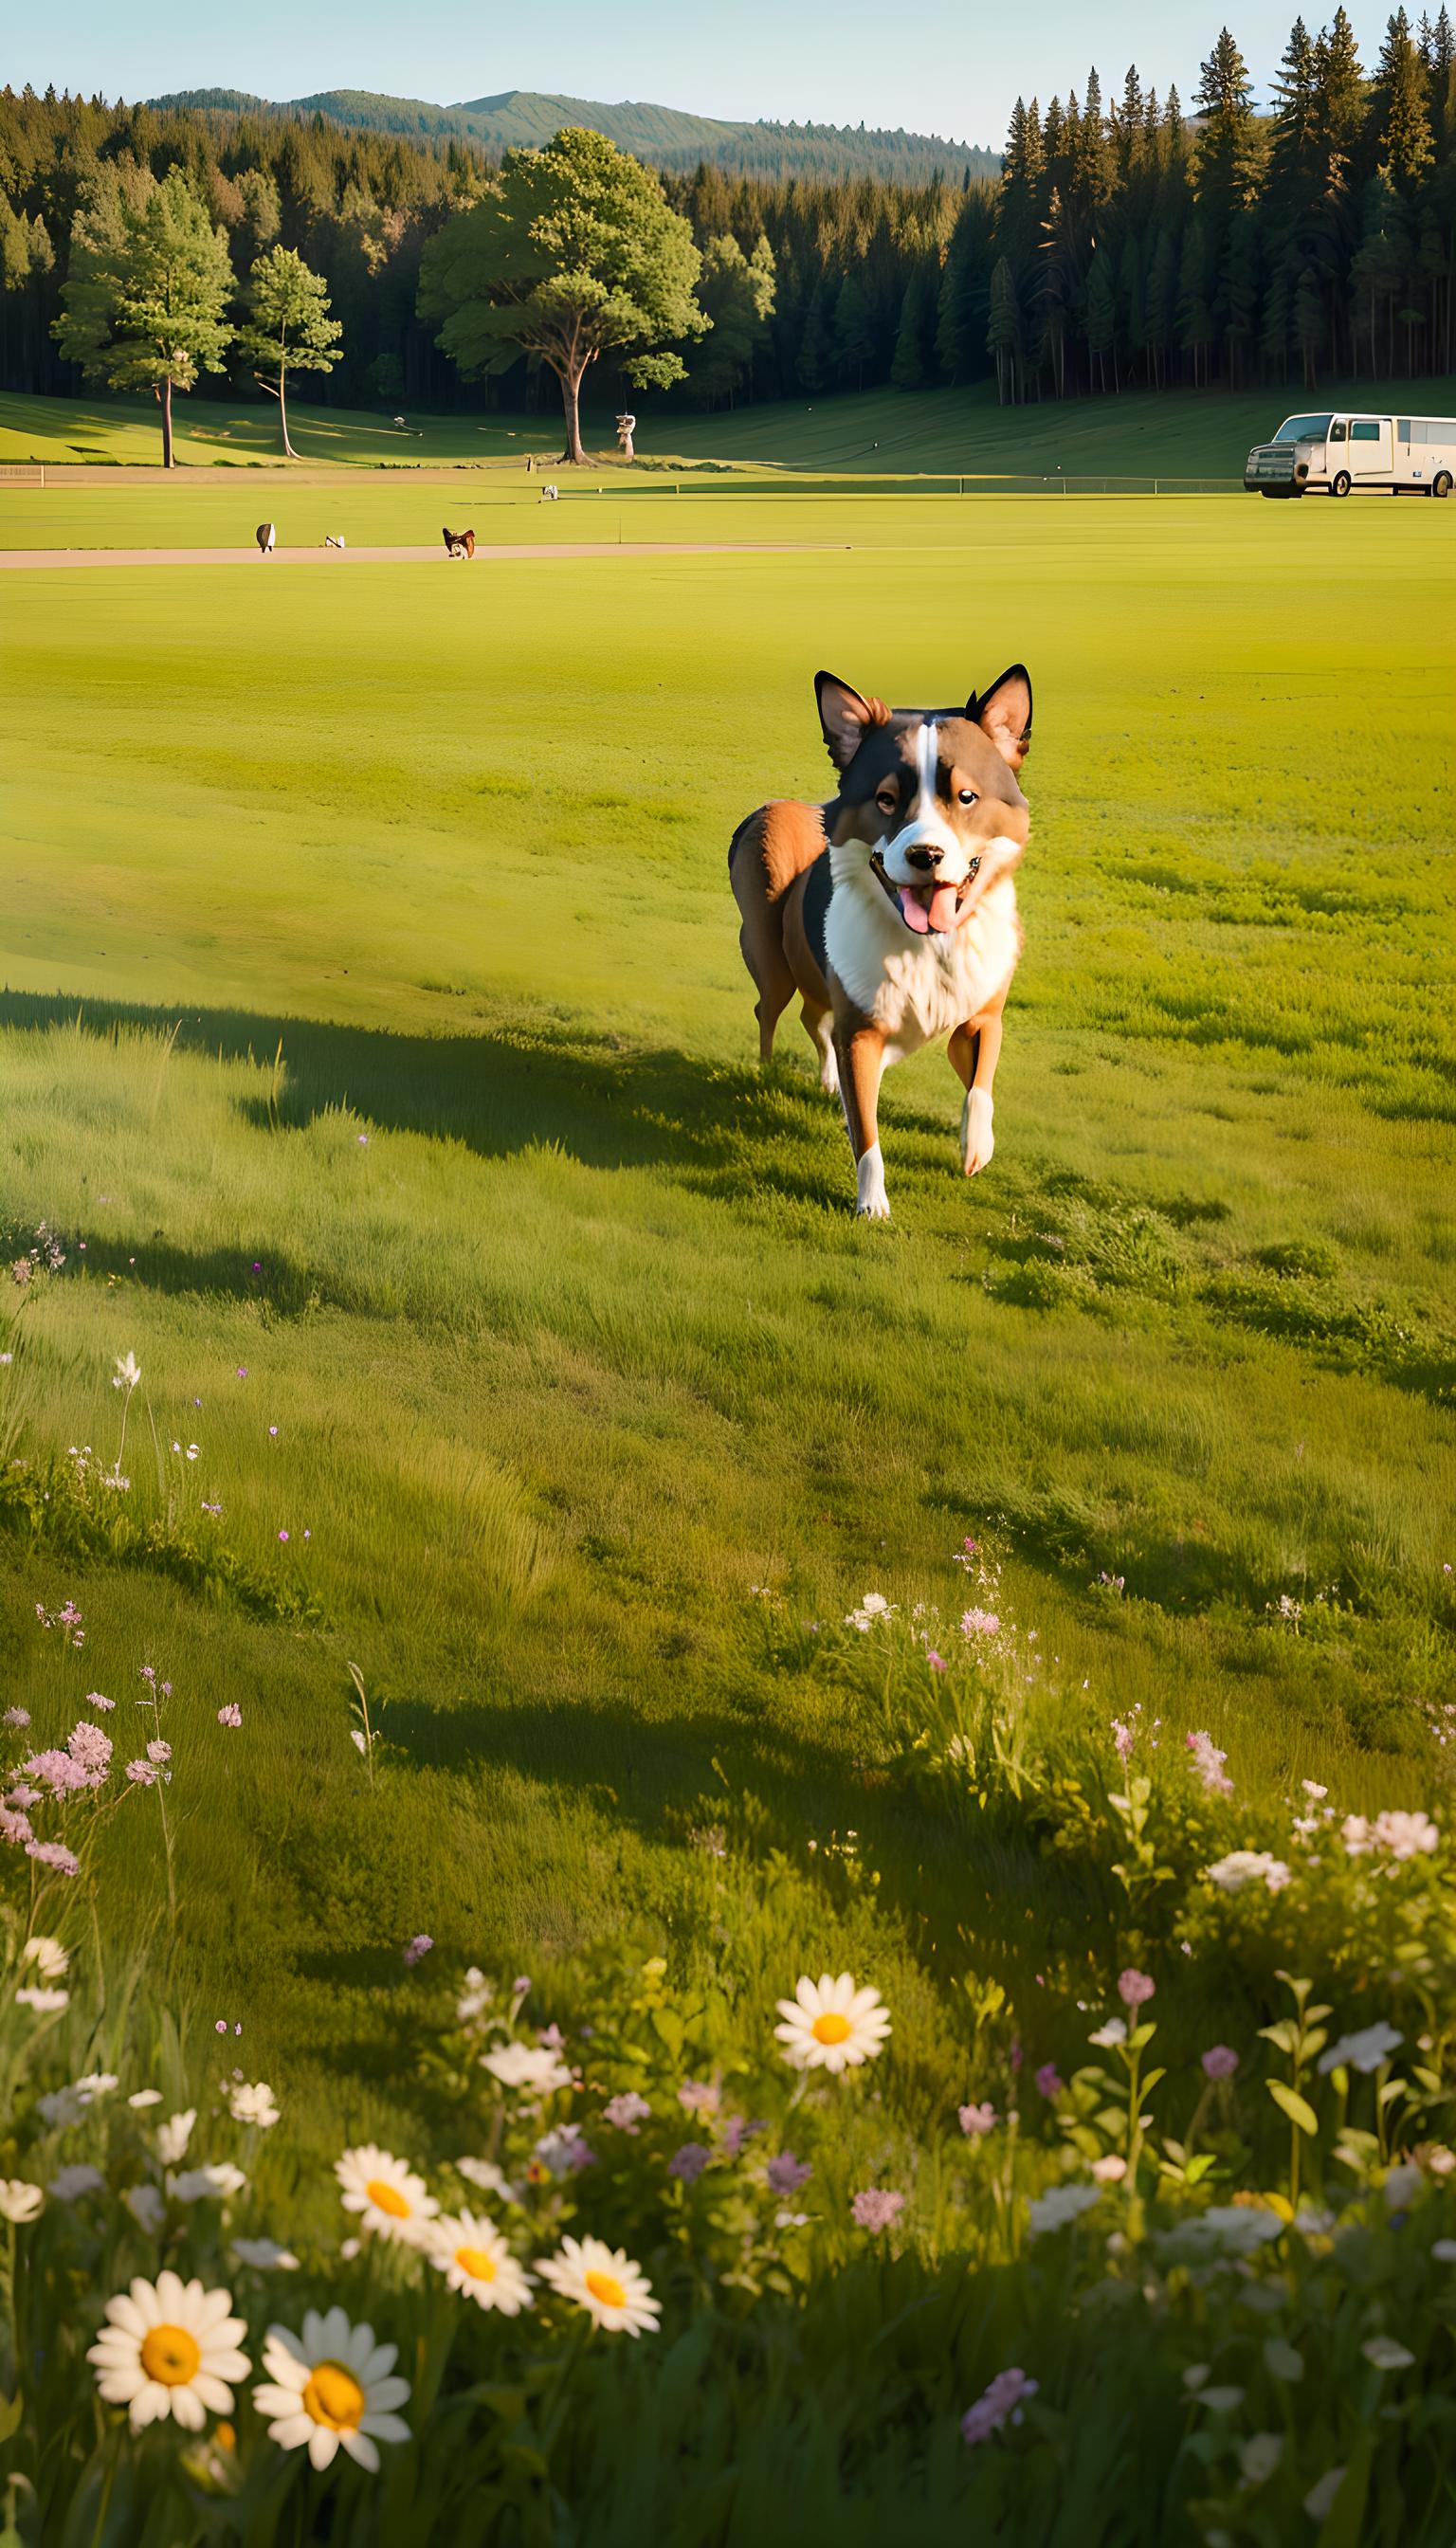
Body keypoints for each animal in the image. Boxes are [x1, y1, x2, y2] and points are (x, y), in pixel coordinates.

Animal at [734, 667, 1029, 1223]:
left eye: (967, 797)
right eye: (886, 799)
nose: (925, 855)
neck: (928, 945)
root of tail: (771, 808)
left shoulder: (978, 1013)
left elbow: (980, 1080)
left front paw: (976, 1146)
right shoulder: (860, 1032)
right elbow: (867, 1132)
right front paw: (871, 1203)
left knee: (812, 1017)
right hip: (772, 958)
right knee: (772, 1010)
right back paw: (766, 1071)